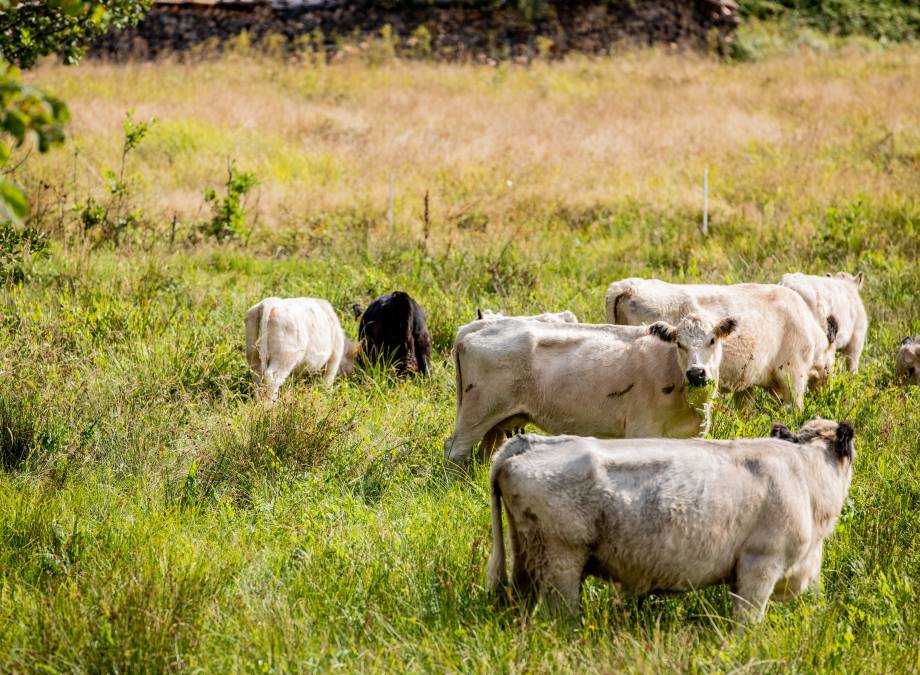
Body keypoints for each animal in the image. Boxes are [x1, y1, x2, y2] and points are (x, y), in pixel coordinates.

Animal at [442, 312, 736, 468]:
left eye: (712, 340)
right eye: (679, 344)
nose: (696, 373)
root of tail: (484, 324)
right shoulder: (642, 430)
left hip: (498, 421)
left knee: (487, 451)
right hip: (476, 414)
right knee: (454, 450)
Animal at [488, 420, 856, 620]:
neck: (805, 471)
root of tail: (531, 442)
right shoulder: (761, 564)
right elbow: (748, 621)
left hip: (525, 556)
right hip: (561, 560)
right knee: (562, 615)